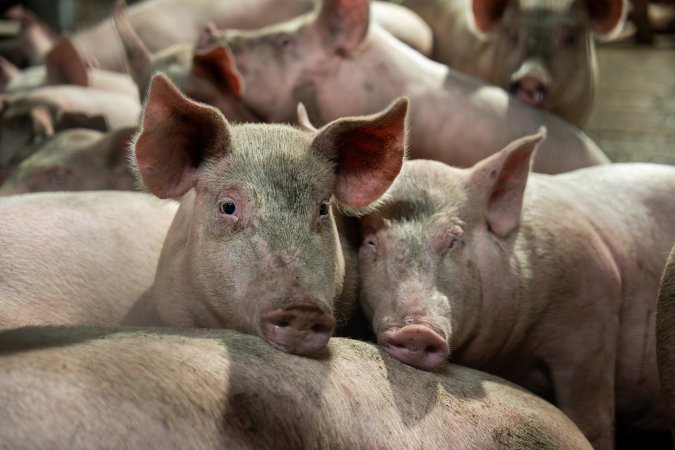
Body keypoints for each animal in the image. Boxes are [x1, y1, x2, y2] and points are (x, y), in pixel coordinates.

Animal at [356, 130, 675, 448]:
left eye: (454, 240)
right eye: (371, 242)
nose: (416, 330)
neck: (515, 354)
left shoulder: (592, 326)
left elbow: (593, 421)